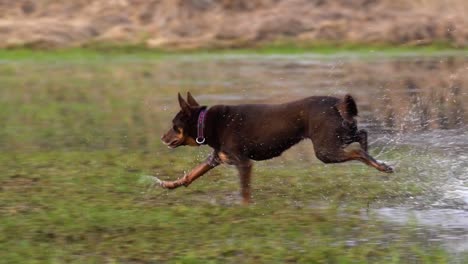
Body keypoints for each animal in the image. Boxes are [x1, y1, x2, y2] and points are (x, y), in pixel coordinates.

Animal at [159, 92, 394, 204]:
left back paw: (378, 165)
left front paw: (246, 207)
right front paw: (168, 184)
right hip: (339, 134)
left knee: (357, 151)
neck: (207, 123)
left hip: (325, 149)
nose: (162, 137)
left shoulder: (244, 163)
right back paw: (378, 162)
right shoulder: (216, 158)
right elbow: (191, 175)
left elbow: (245, 191)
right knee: (362, 134)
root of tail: (336, 103)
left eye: (174, 126)